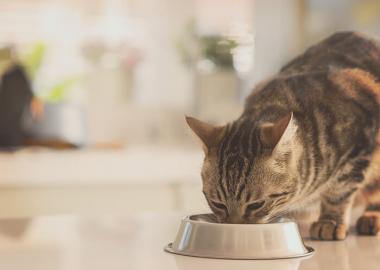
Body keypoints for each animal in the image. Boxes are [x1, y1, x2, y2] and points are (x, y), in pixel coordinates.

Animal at [188, 31, 380, 240]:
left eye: (256, 205)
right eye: (218, 204)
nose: (234, 227)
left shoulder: (359, 147)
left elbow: (339, 192)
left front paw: (329, 221)